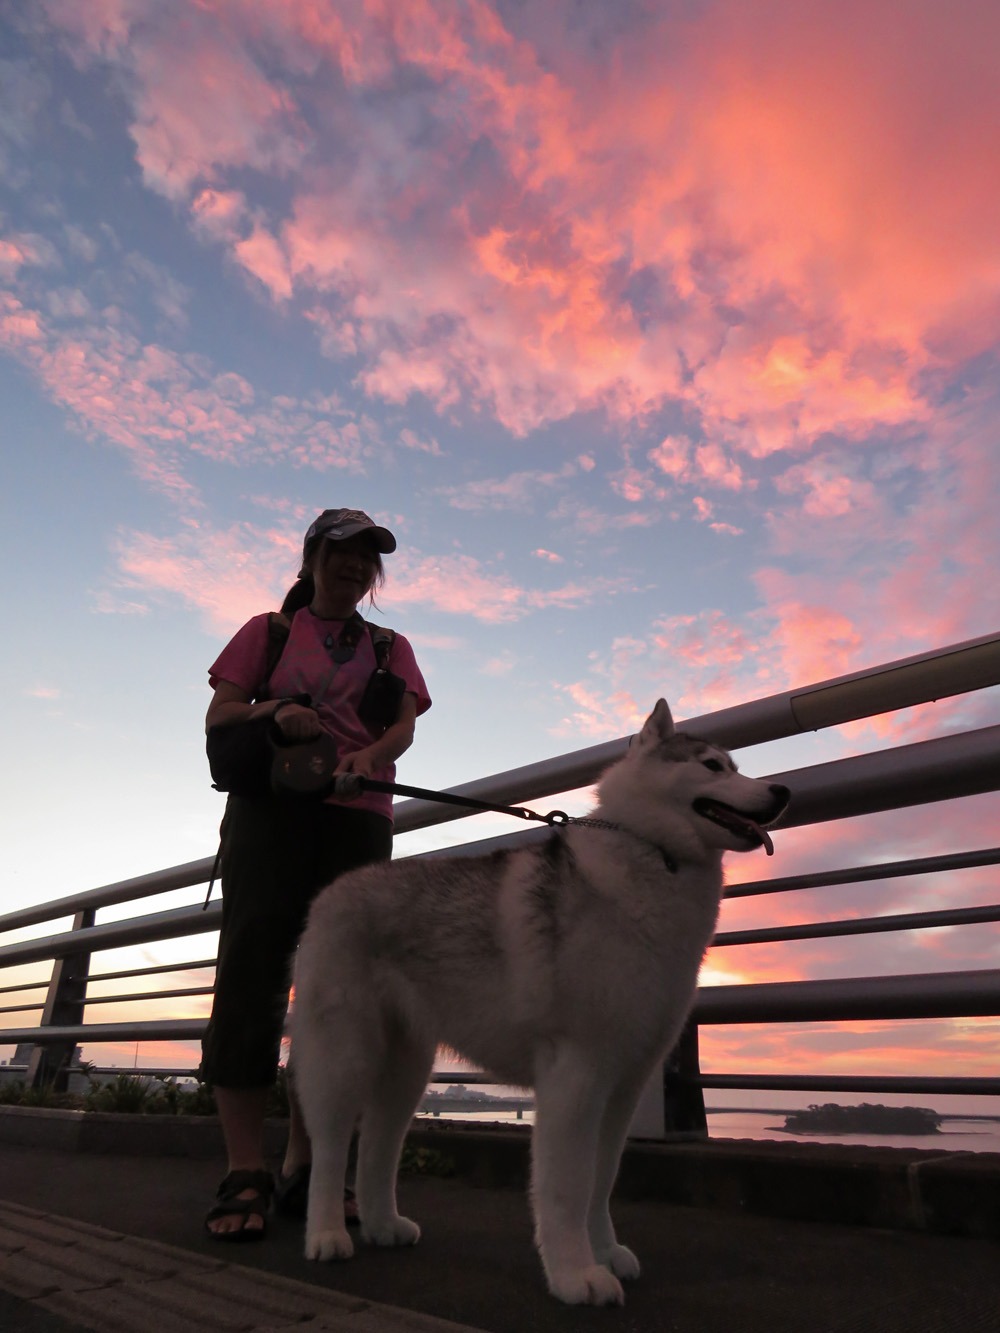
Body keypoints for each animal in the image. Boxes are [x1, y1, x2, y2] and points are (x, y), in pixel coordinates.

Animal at [289, 703, 789, 1306]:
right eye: (713, 766)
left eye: (736, 766)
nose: (782, 791)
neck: (651, 854)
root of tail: (333, 890)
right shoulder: (576, 1074)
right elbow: (567, 1187)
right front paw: (575, 1274)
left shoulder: (625, 1083)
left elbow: (602, 1181)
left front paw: (604, 1252)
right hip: (345, 1056)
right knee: (332, 1144)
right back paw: (325, 1234)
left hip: (407, 1067)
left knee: (379, 1143)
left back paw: (383, 1224)